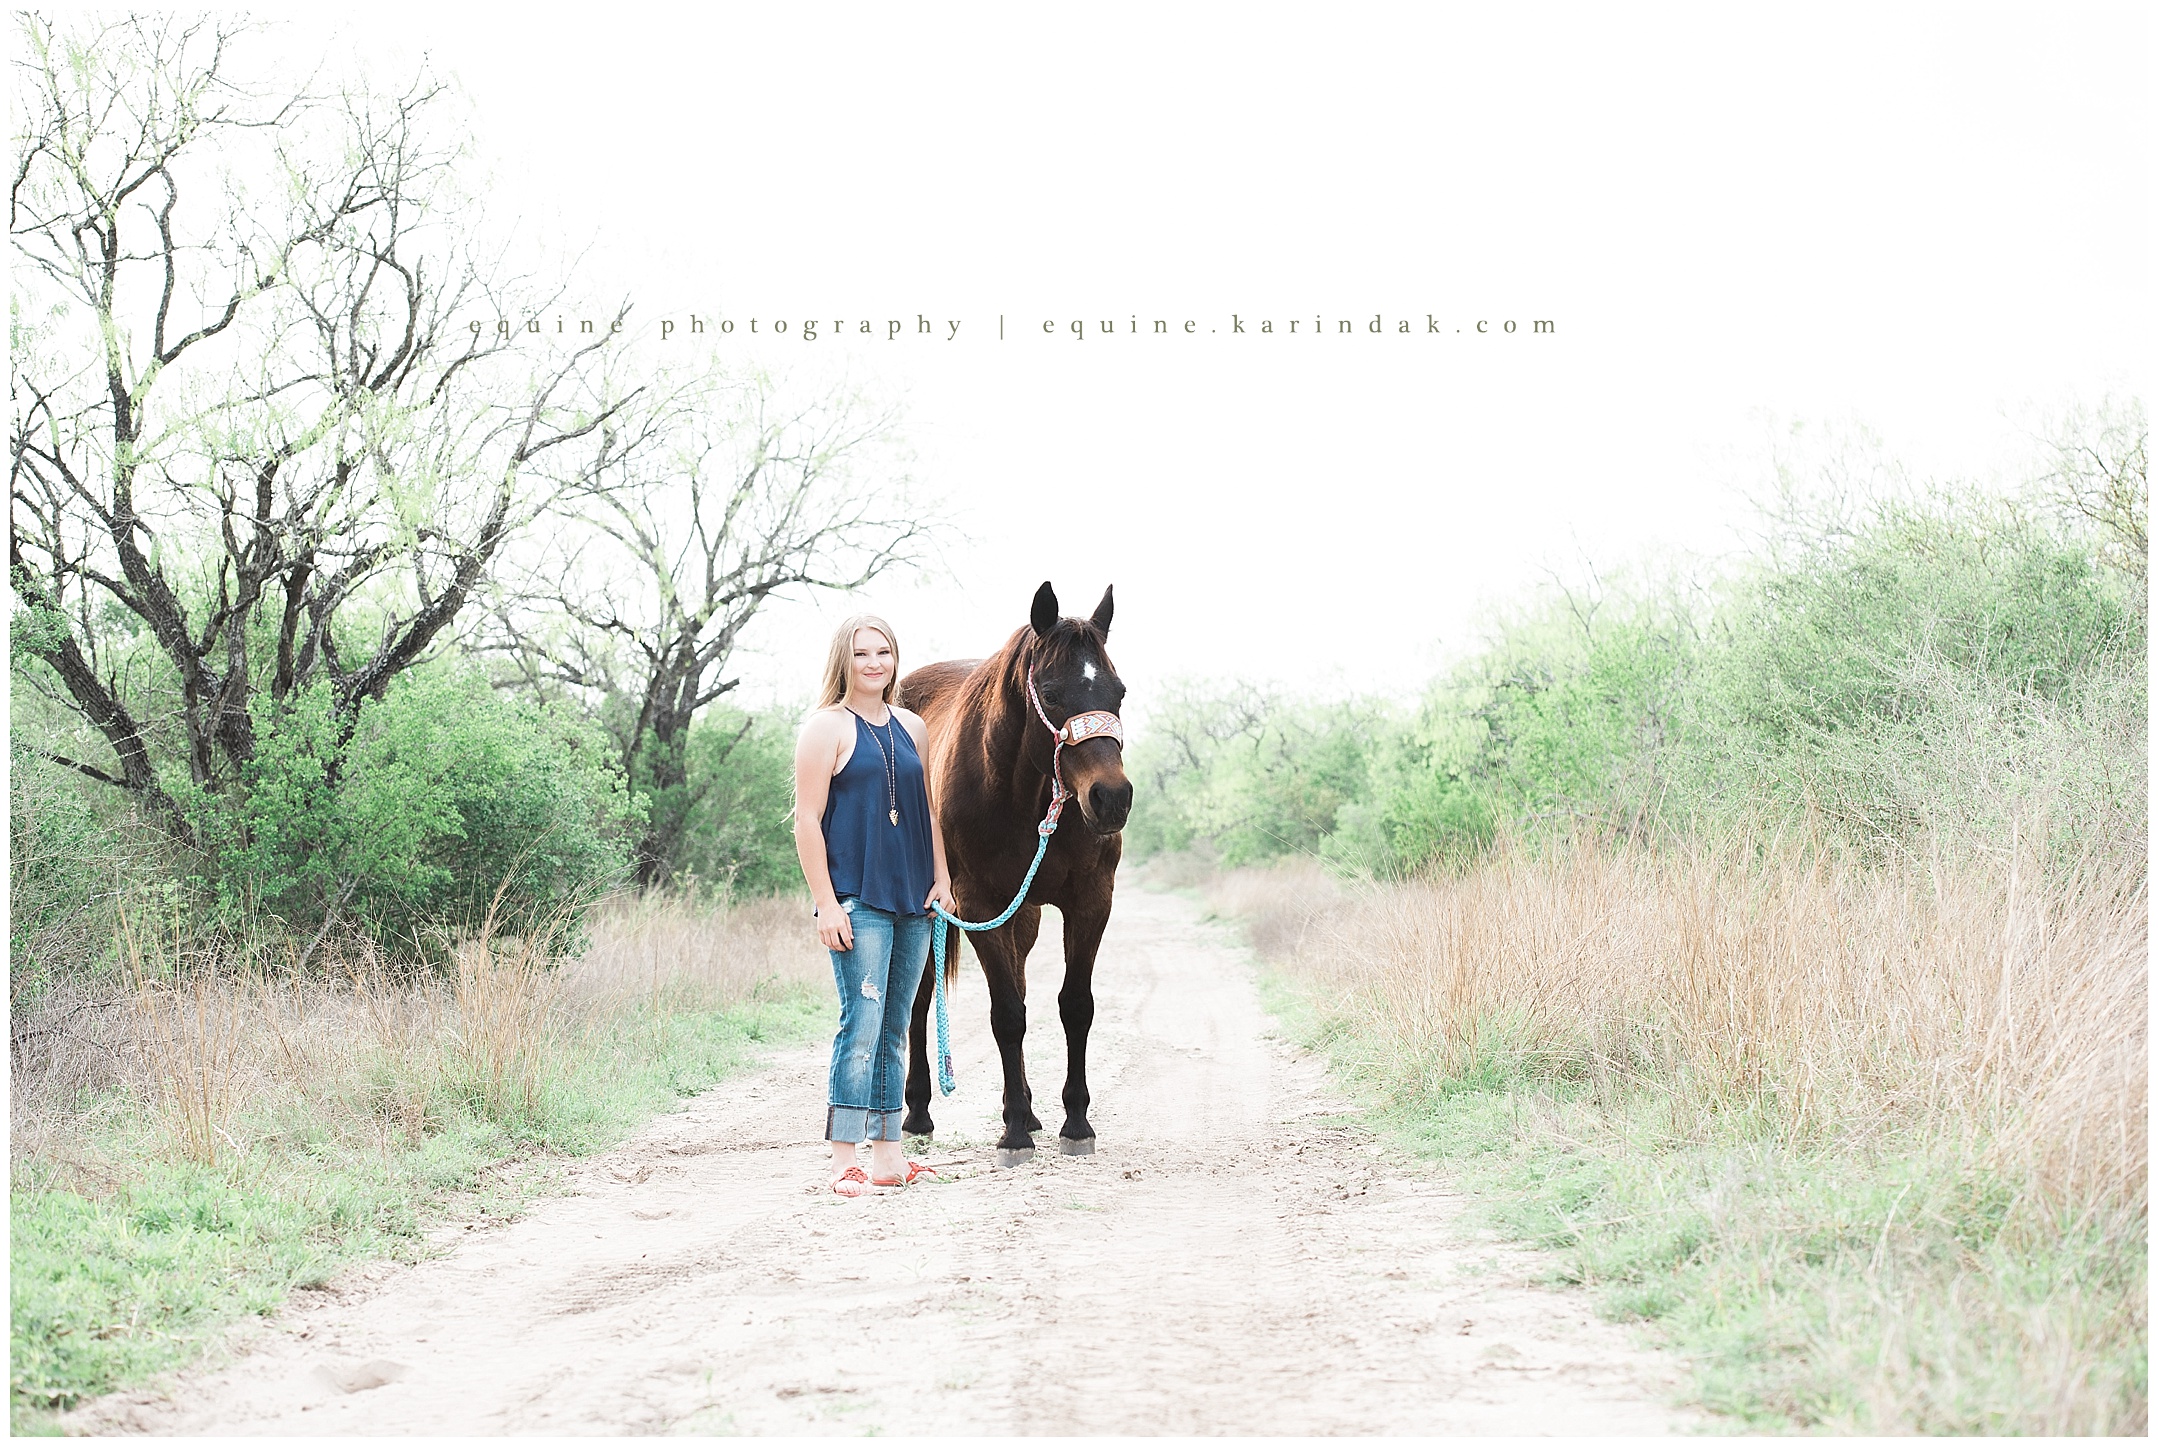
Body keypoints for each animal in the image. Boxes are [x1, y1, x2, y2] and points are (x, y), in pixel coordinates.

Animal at [900, 581, 1133, 1167]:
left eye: (1118, 693)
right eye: (1049, 694)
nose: (1112, 798)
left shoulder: (1090, 902)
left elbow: (1074, 1007)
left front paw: (1075, 1122)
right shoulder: (977, 905)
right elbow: (1007, 1013)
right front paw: (1012, 1135)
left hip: (1021, 915)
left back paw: (1026, 1106)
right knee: (917, 1000)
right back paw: (917, 1112)